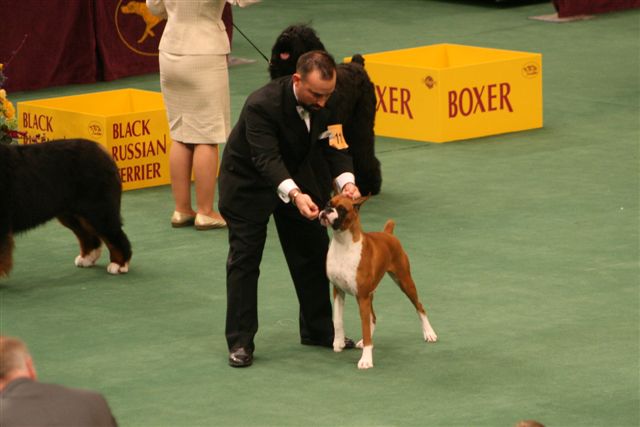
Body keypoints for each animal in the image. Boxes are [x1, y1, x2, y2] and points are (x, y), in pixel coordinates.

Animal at [0, 139, 132, 277]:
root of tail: (101, 149)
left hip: (98, 211)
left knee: (115, 236)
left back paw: (119, 265)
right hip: (74, 214)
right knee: (87, 235)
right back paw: (87, 258)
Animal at [269, 24, 382, 196]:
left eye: (302, 36)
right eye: (287, 30)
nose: (285, 37)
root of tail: (357, 65)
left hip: (360, 126)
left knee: (363, 152)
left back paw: (369, 185)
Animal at [319, 195, 437, 369]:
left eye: (342, 209)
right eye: (328, 203)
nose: (326, 210)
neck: (343, 244)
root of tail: (388, 234)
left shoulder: (362, 296)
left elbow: (365, 328)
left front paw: (366, 359)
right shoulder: (338, 291)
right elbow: (338, 319)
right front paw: (339, 342)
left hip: (404, 281)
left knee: (419, 307)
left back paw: (429, 333)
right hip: (371, 293)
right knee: (373, 318)